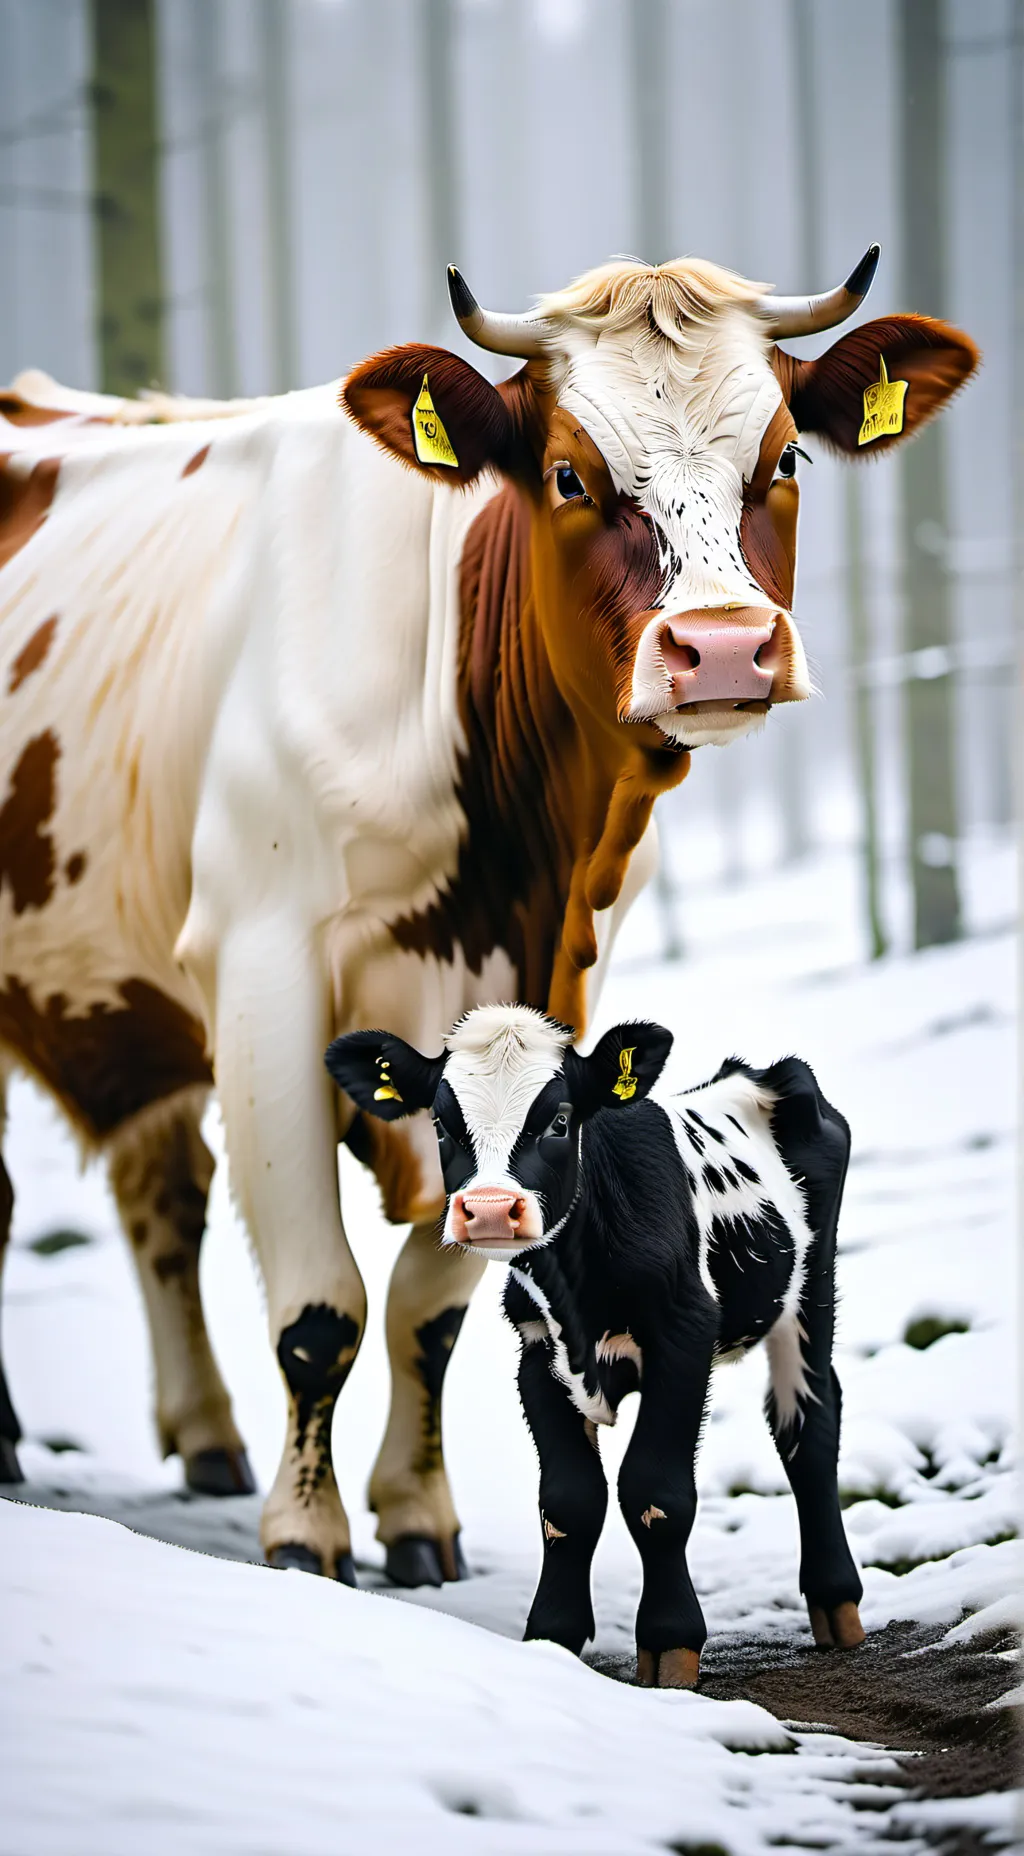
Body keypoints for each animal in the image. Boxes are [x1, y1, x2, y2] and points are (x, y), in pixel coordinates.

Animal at [0, 249, 976, 1585]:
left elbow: (432, 1302)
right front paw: (307, 1534)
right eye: (568, 472)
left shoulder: (547, 983)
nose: (723, 648)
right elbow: (321, 1305)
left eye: (783, 459)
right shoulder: (262, 968)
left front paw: (415, 1513)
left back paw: (201, 1433)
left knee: (162, 1191)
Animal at [325, 1006, 863, 1687]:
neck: (576, 1288)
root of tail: (759, 1074)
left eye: (559, 1120)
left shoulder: (684, 1336)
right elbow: (568, 1502)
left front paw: (670, 1643)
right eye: (442, 1124)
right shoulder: (537, 1355)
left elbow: (656, 1493)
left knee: (808, 1424)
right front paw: (552, 1636)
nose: (491, 1210)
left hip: (811, 1291)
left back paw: (836, 1602)